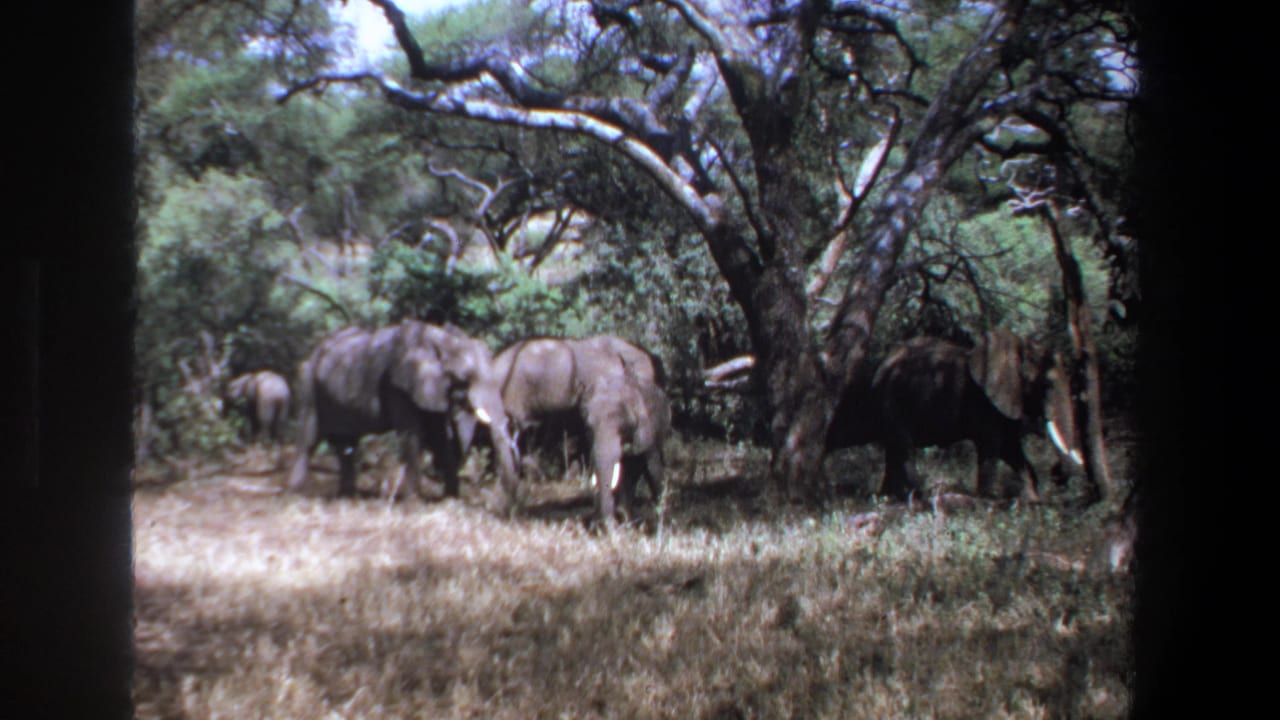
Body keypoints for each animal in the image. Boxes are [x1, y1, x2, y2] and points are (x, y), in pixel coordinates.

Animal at [287, 320, 517, 500]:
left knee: (346, 446)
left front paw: (451, 499)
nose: (508, 498)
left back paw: (347, 496)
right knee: (308, 439)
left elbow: (438, 436)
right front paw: (413, 502)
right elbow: (412, 433)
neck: (438, 337)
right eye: (464, 378)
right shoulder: (397, 385)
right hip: (308, 386)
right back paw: (296, 494)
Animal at [826, 328, 1084, 502]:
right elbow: (992, 447)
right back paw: (917, 499)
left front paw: (1032, 502)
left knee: (894, 450)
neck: (1016, 347)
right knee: (903, 448)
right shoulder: (983, 401)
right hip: (893, 400)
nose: (1058, 474)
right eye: (1047, 385)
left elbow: (1012, 450)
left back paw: (889, 498)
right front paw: (986, 501)